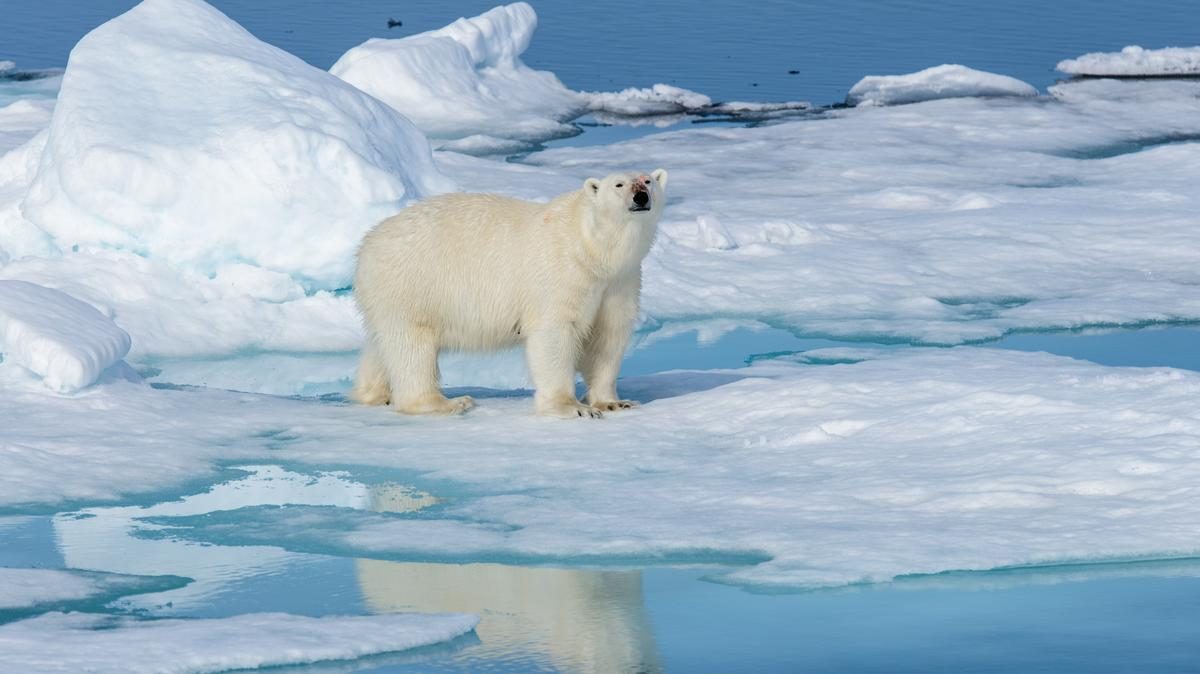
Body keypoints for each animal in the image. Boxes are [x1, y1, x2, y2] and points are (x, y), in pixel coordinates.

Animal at [350, 169, 667, 414]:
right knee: (412, 344)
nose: (641, 197)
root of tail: (367, 243)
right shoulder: (561, 273)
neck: (592, 249)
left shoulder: (619, 281)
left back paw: (374, 393)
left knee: (383, 343)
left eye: (648, 180)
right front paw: (571, 407)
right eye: (619, 184)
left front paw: (614, 403)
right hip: (412, 283)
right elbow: (555, 332)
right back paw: (446, 403)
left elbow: (607, 335)